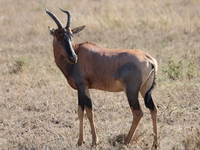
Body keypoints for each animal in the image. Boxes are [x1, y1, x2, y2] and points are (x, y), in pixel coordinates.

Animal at [45, 8, 158, 149]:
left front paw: (94, 142)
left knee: (138, 112)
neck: (78, 51)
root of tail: (149, 59)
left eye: (71, 36)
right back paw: (155, 144)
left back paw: (126, 142)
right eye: (60, 36)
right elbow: (80, 111)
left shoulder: (84, 87)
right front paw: (80, 141)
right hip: (145, 90)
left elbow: (89, 112)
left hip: (131, 91)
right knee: (153, 109)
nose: (73, 58)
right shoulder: (80, 89)